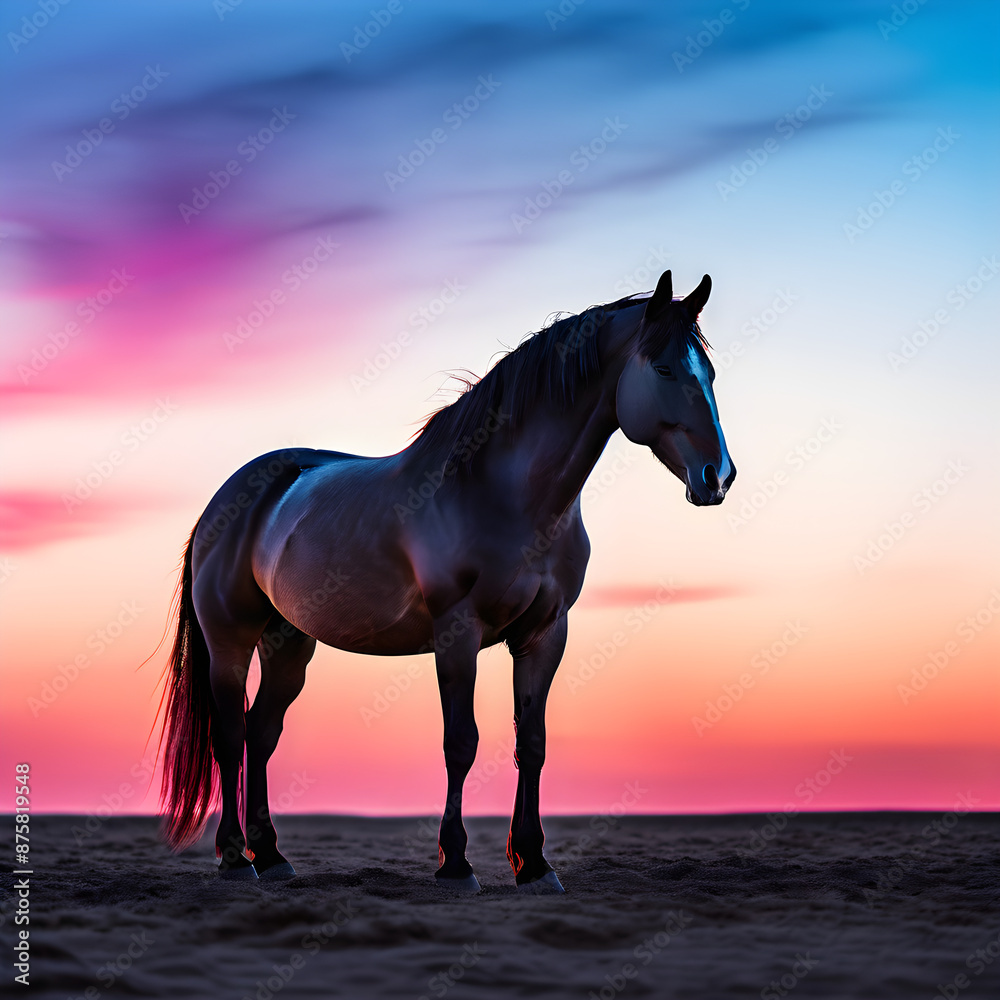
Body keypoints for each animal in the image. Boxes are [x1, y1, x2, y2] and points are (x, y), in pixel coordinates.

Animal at [156, 270, 736, 896]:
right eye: (665, 369)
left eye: (709, 373)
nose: (718, 477)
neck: (502, 493)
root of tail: (226, 500)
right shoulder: (457, 632)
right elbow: (461, 742)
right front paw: (456, 865)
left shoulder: (544, 635)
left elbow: (532, 743)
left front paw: (534, 864)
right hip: (230, 641)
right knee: (229, 737)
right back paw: (235, 858)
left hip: (288, 643)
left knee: (260, 734)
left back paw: (272, 857)